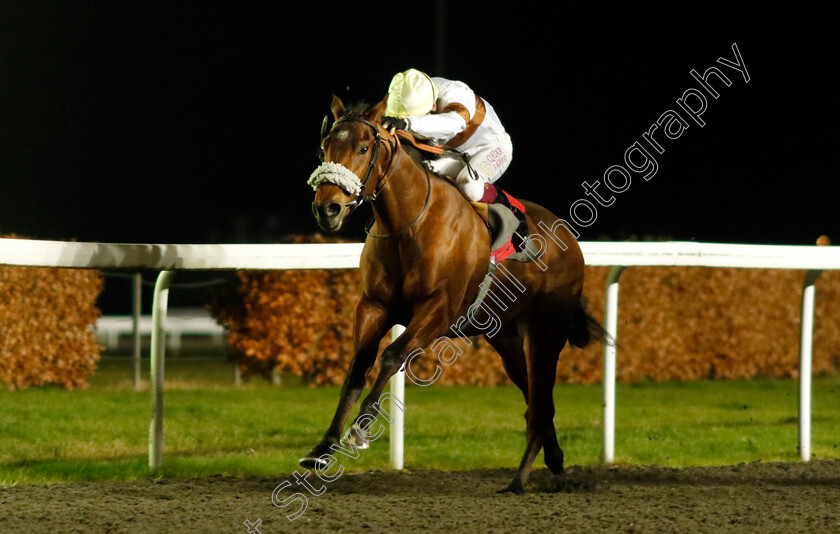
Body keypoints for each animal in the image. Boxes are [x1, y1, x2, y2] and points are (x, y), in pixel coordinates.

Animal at [302, 93, 604, 494]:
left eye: (364, 147)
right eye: (324, 148)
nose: (328, 208)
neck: (409, 224)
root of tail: (567, 235)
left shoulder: (438, 311)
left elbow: (392, 356)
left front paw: (361, 429)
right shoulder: (373, 307)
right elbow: (356, 370)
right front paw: (322, 448)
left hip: (546, 333)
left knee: (541, 402)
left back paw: (519, 480)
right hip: (504, 336)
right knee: (532, 396)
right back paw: (551, 460)